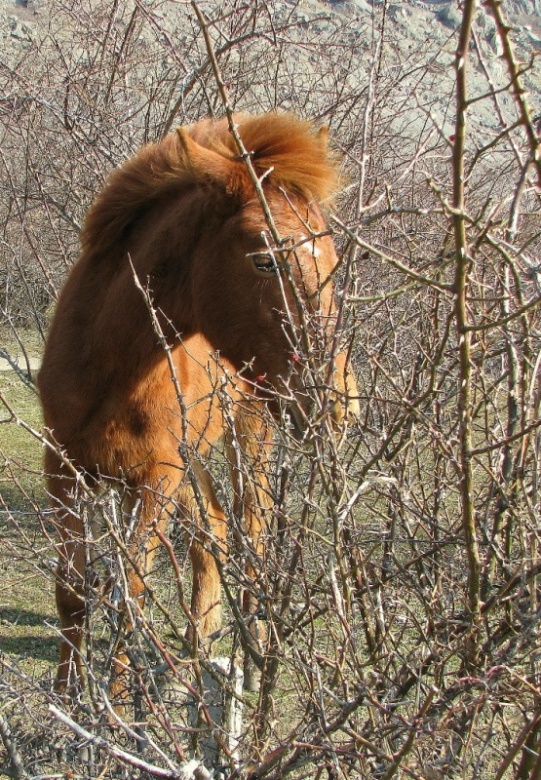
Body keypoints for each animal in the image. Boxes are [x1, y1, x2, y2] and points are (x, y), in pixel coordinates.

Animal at [38, 109, 358, 696]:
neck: (108, 365)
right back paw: (196, 644)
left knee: (250, 528)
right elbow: (72, 590)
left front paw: (118, 702)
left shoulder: (154, 480)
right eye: (264, 260)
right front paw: (69, 696)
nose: (341, 402)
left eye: (329, 254)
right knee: (213, 532)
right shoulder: (65, 470)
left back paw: (251, 649)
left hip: (248, 434)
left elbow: (131, 593)